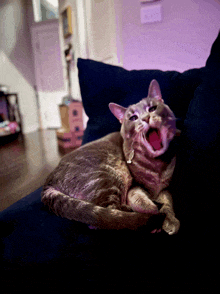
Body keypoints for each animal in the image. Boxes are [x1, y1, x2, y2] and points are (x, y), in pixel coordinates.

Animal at [42, 80, 180, 234]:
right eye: (133, 118)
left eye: (152, 108)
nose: (146, 118)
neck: (156, 165)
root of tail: (49, 181)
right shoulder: (134, 188)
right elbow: (143, 203)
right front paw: (156, 214)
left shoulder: (165, 189)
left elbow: (168, 203)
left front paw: (170, 221)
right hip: (108, 178)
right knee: (107, 217)